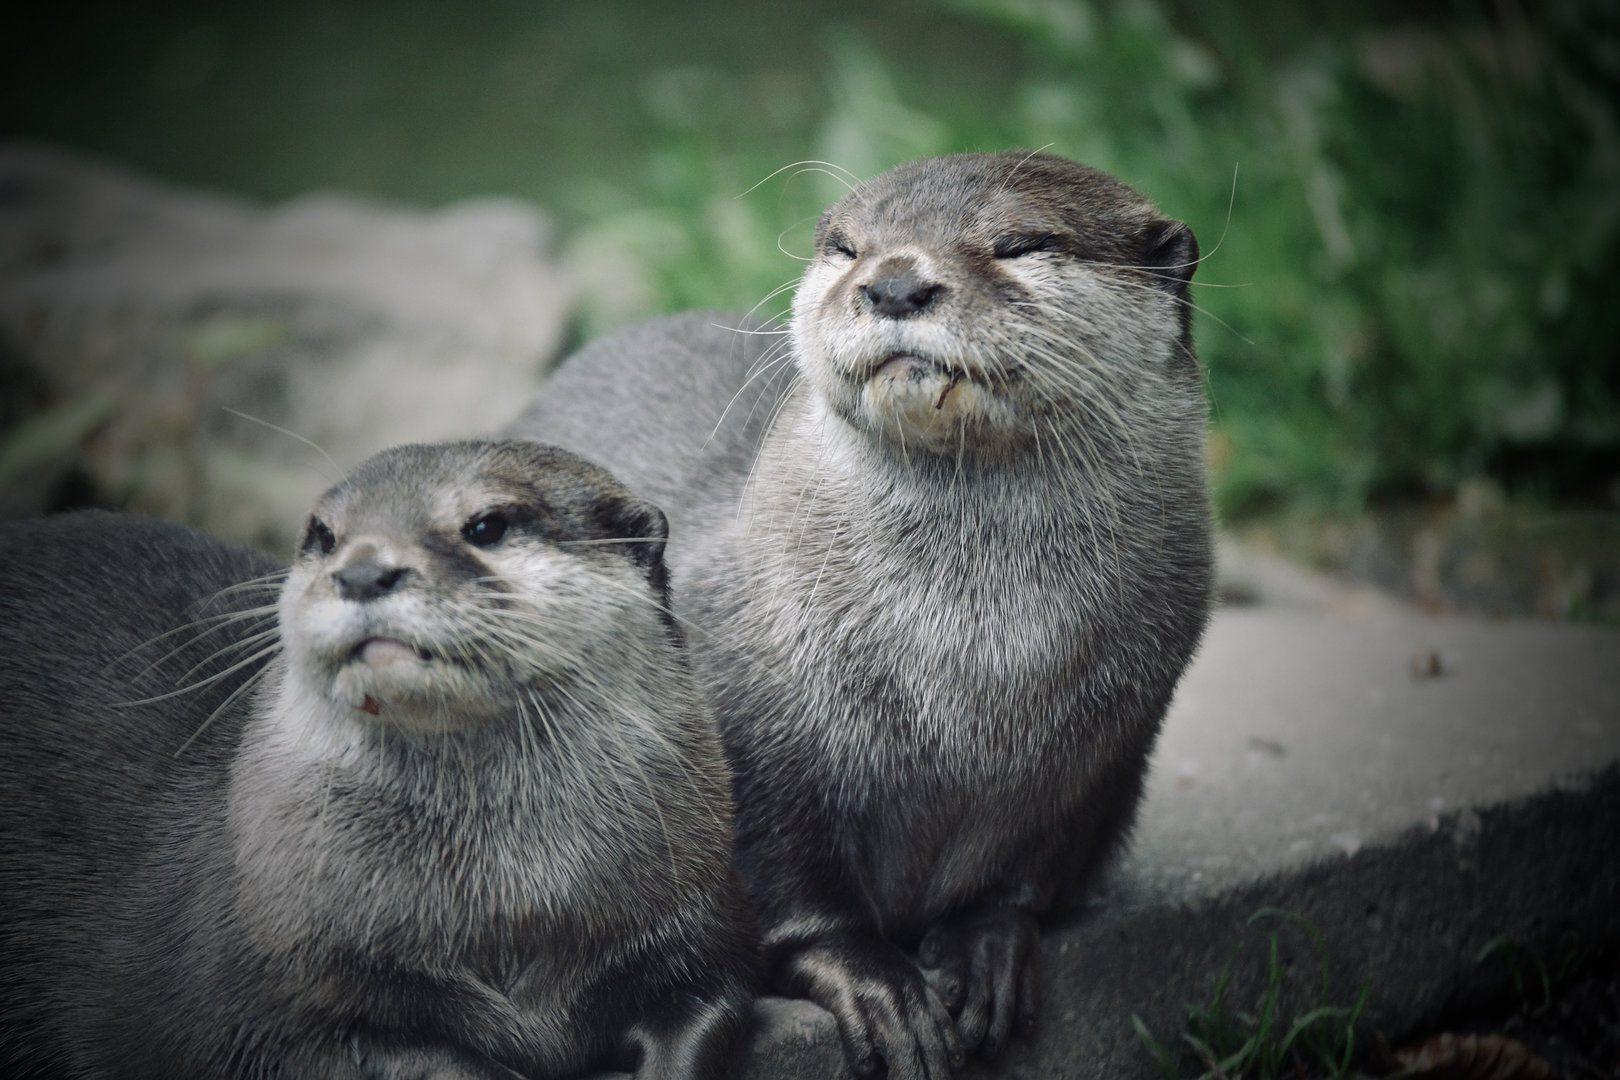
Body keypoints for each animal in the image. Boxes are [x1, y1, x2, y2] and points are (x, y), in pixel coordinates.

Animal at [0, 441, 756, 1079]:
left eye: (487, 525)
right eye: (324, 535)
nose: (363, 571)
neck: (511, 905)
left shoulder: (687, 936)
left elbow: (706, 1016)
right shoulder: (263, 1002)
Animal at [506, 151, 1211, 1079]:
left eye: (1022, 243)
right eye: (847, 246)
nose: (895, 283)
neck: (976, 667)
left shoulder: (1105, 751)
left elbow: (1030, 870)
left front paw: (986, 944)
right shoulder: (754, 728)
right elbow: (785, 888)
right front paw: (876, 985)